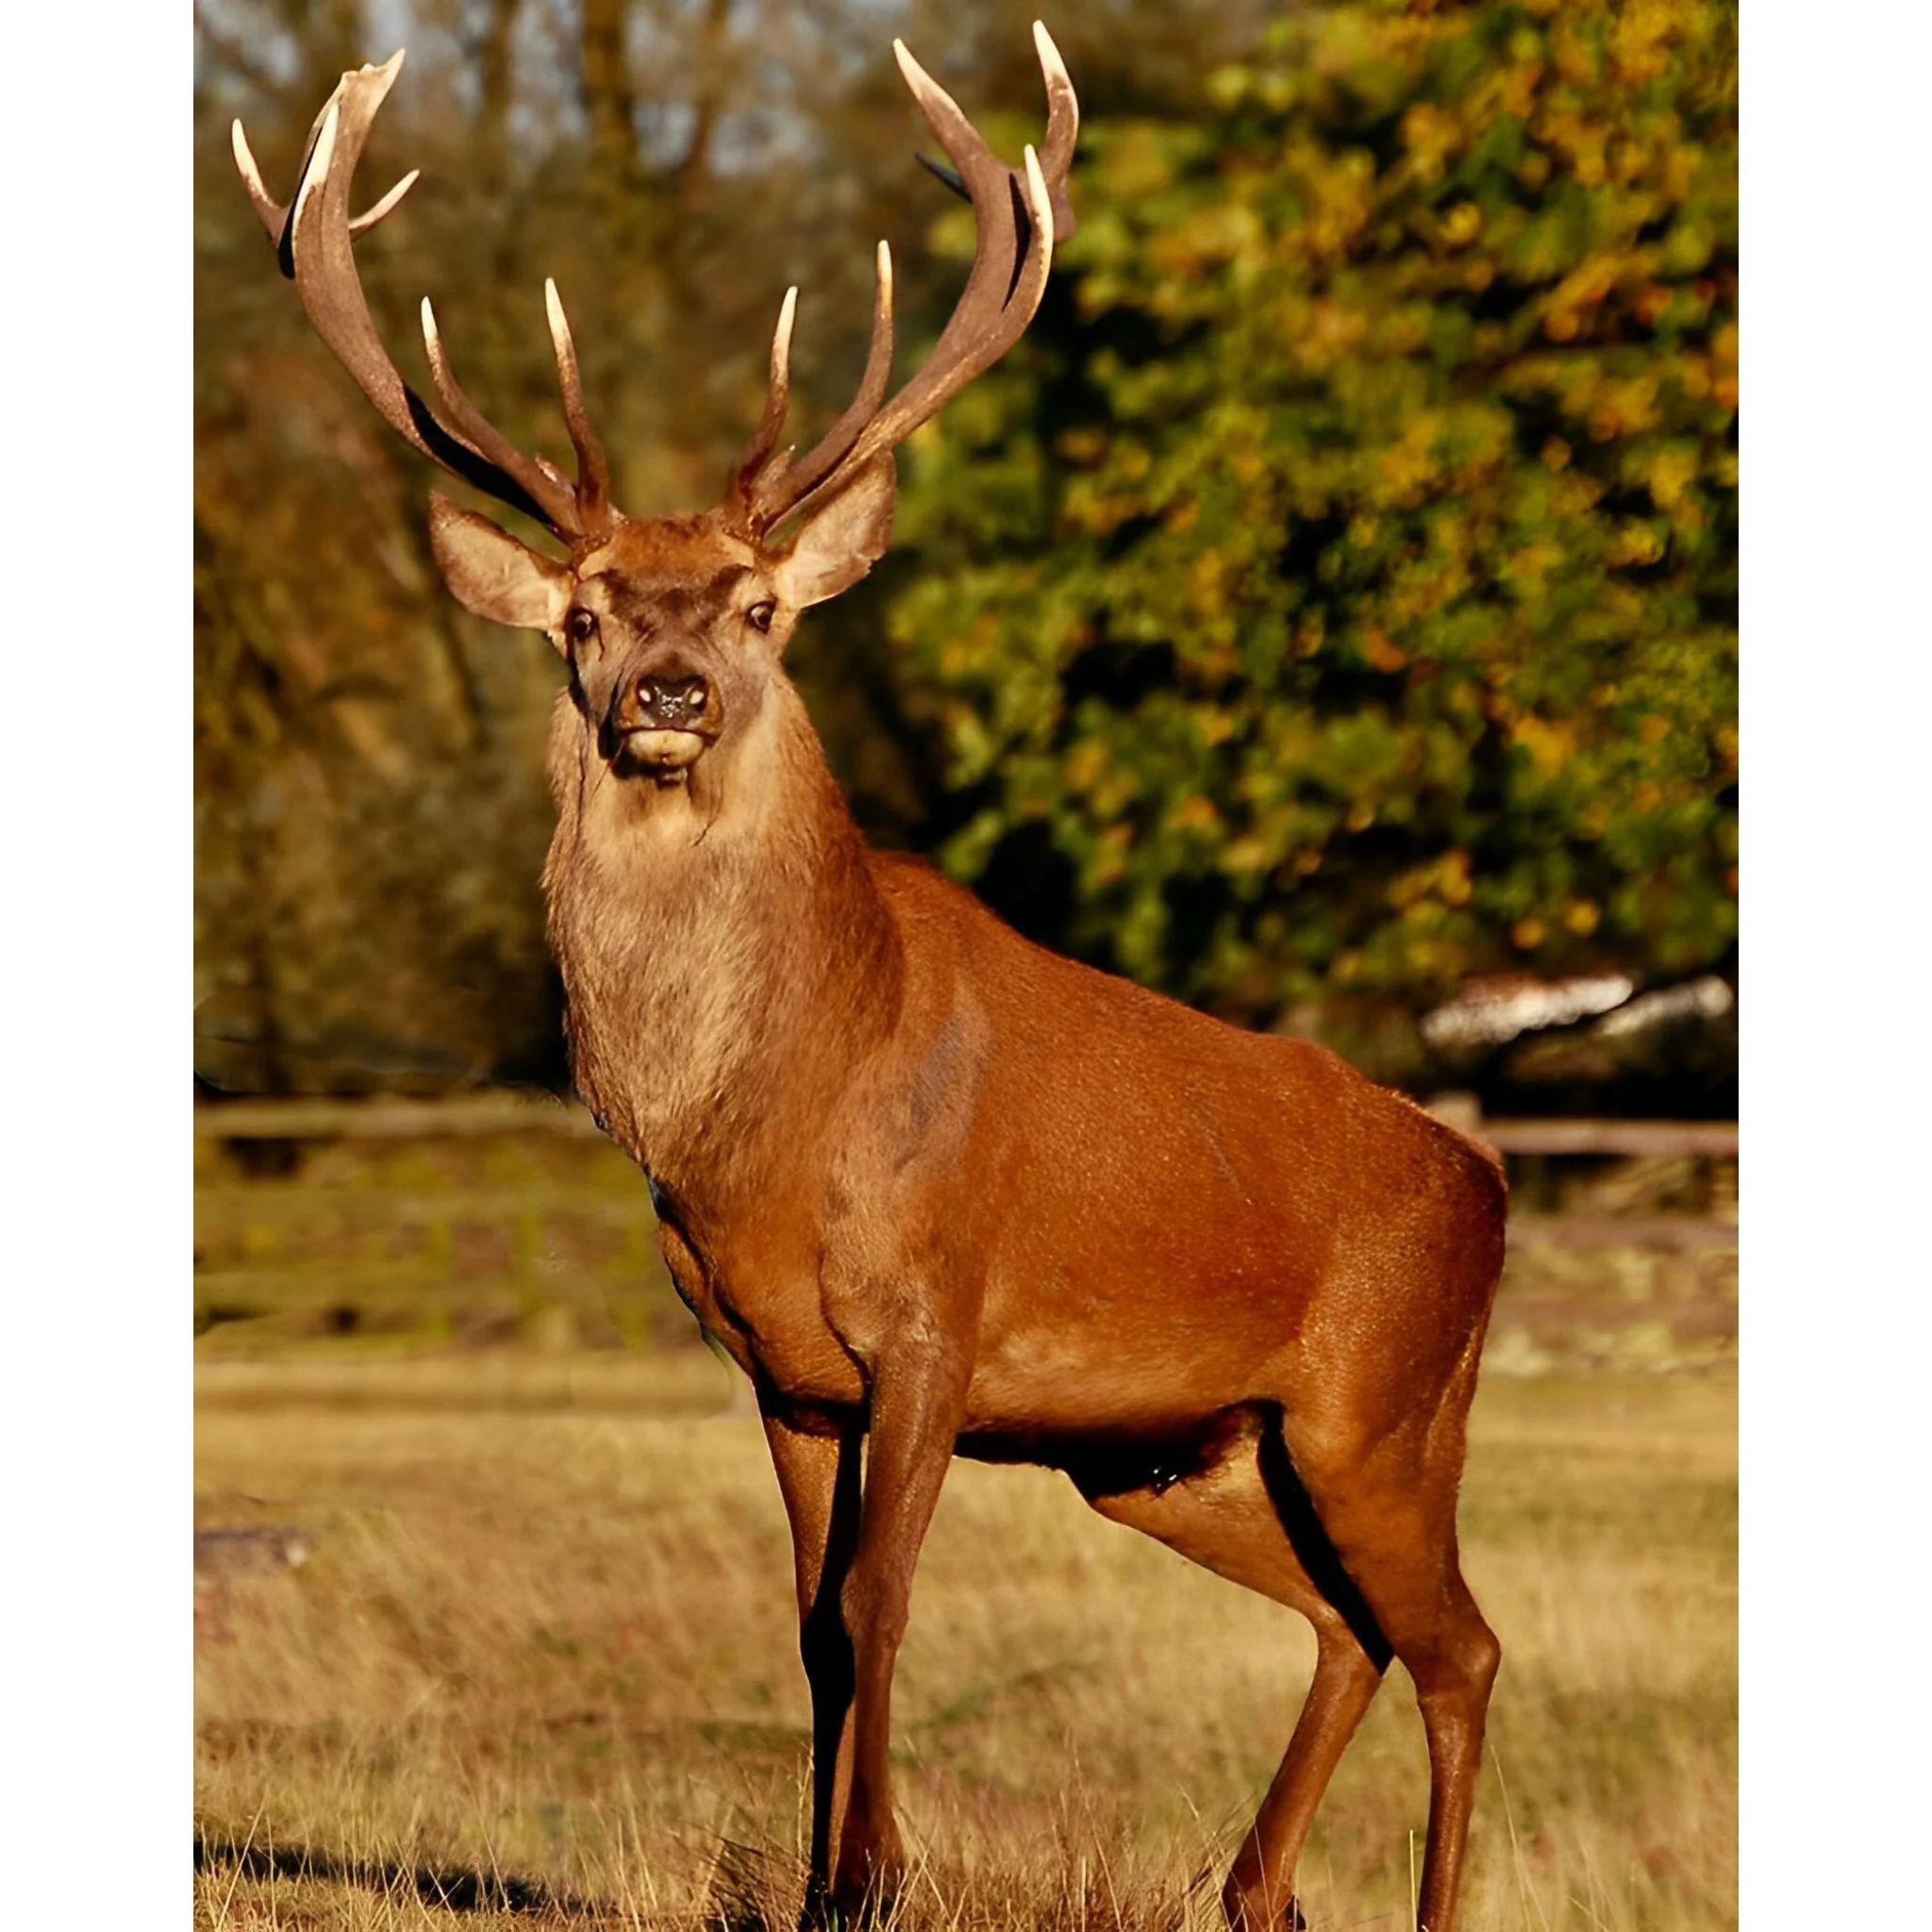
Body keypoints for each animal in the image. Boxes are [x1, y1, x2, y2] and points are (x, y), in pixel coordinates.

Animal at [232, 30, 1505, 1931]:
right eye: (588, 614)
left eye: (757, 606)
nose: (669, 689)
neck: (771, 1128)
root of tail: (1490, 1182)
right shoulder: (778, 1370)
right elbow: (810, 1630)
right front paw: (825, 1879)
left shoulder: (932, 1321)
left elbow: (876, 1601)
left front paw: (875, 1876)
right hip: (1182, 1456)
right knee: (1356, 1628)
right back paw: (1252, 1887)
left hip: (1381, 1407)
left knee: (1462, 1644)